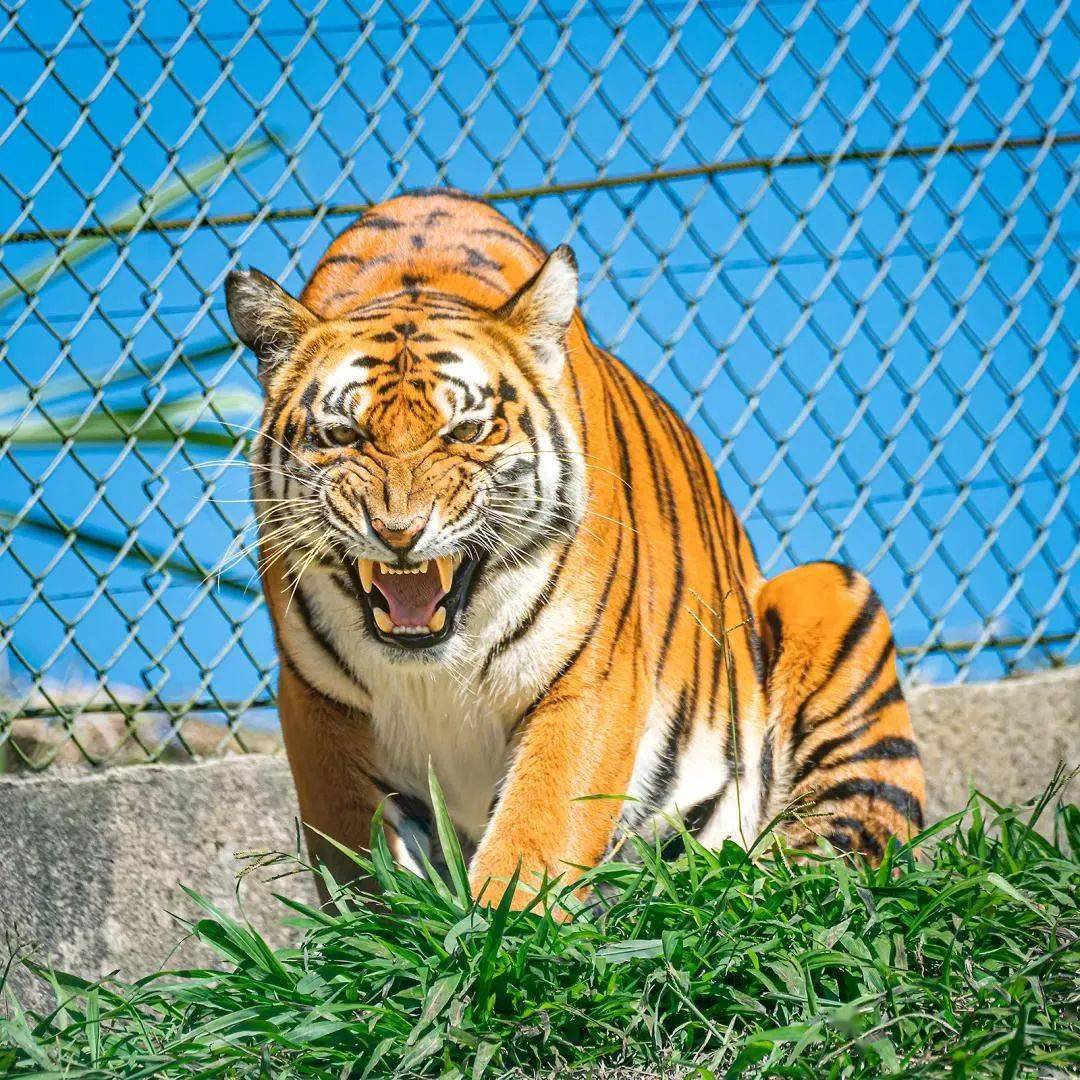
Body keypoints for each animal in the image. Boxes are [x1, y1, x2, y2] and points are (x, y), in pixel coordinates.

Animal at [223, 190, 924, 907]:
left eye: (466, 431)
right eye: (342, 436)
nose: (399, 531)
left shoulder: (590, 676)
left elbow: (538, 827)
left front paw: (496, 929)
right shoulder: (316, 698)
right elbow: (358, 856)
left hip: (828, 600)